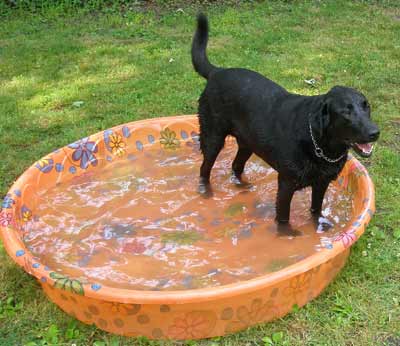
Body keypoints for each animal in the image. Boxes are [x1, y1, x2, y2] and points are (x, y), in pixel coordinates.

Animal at [191, 13, 378, 226]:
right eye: (346, 112)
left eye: (366, 106)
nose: (375, 132)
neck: (319, 144)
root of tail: (217, 71)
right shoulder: (286, 185)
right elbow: (283, 219)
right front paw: (289, 233)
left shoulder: (321, 183)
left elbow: (316, 210)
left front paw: (319, 226)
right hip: (213, 138)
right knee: (204, 169)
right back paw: (206, 192)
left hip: (248, 142)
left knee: (236, 166)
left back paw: (243, 186)